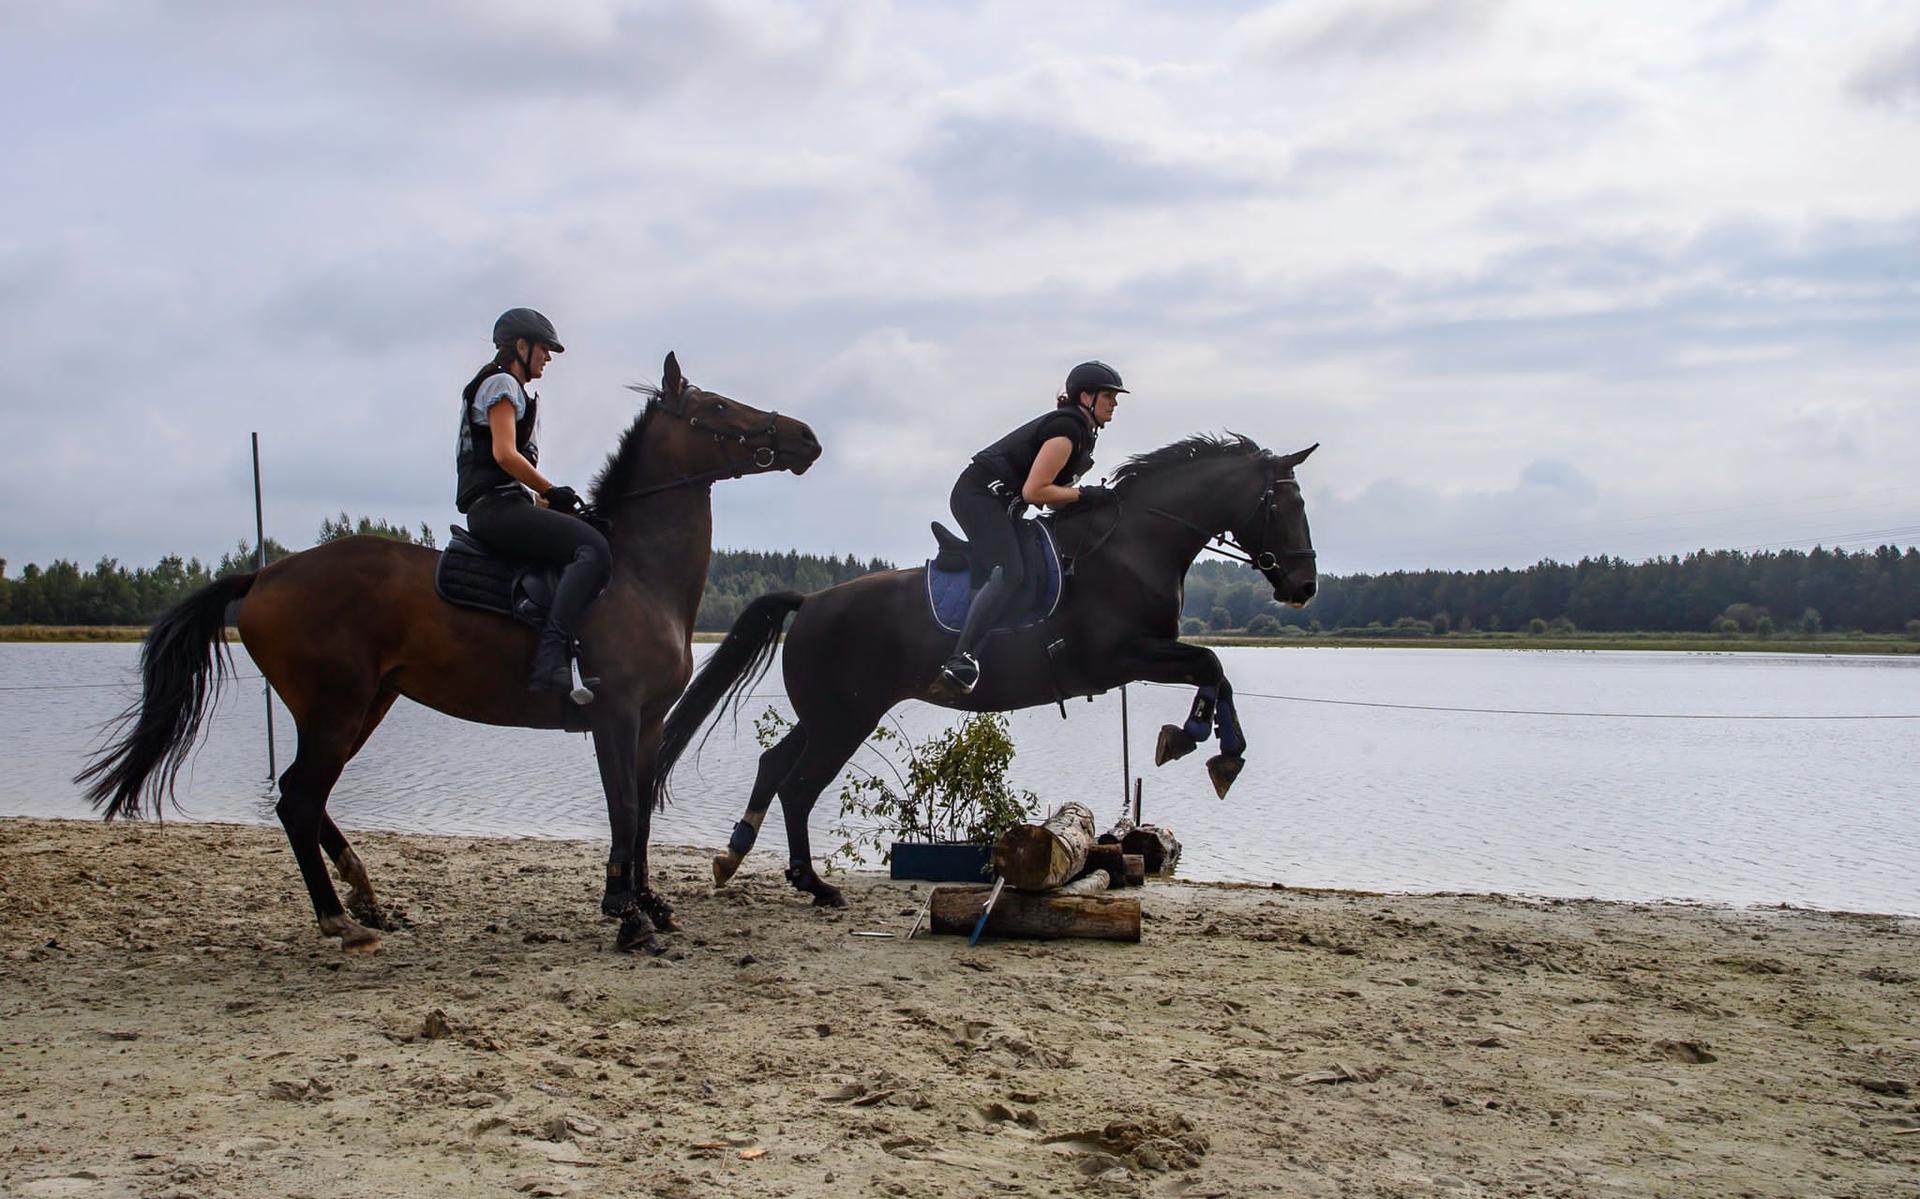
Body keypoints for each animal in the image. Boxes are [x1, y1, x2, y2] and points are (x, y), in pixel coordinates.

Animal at [76, 353, 820, 953]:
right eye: (716, 407)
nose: (805, 437)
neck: (637, 574)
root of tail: (264, 576)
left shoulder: (648, 721)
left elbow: (638, 813)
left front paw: (651, 903)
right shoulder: (612, 714)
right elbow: (625, 810)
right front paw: (625, 914)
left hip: (365, 705)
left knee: (303, 797)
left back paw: (364, 897)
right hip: (335, 708)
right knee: (297, 799)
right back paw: (340, 919)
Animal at [651, 433, 1317, 908]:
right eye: (1288, 505)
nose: (1304, 586)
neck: (1136, 544)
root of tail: (810, 602)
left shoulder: (1140, 655)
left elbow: (1215, 670)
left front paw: (1211, 747)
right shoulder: (1125, 654)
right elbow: (1212, 663)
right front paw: (1201, 741)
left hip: (829, 712)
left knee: (773, 766)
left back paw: (734, 857)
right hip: (847, 717)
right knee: (798, 785)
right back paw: (813, 884)